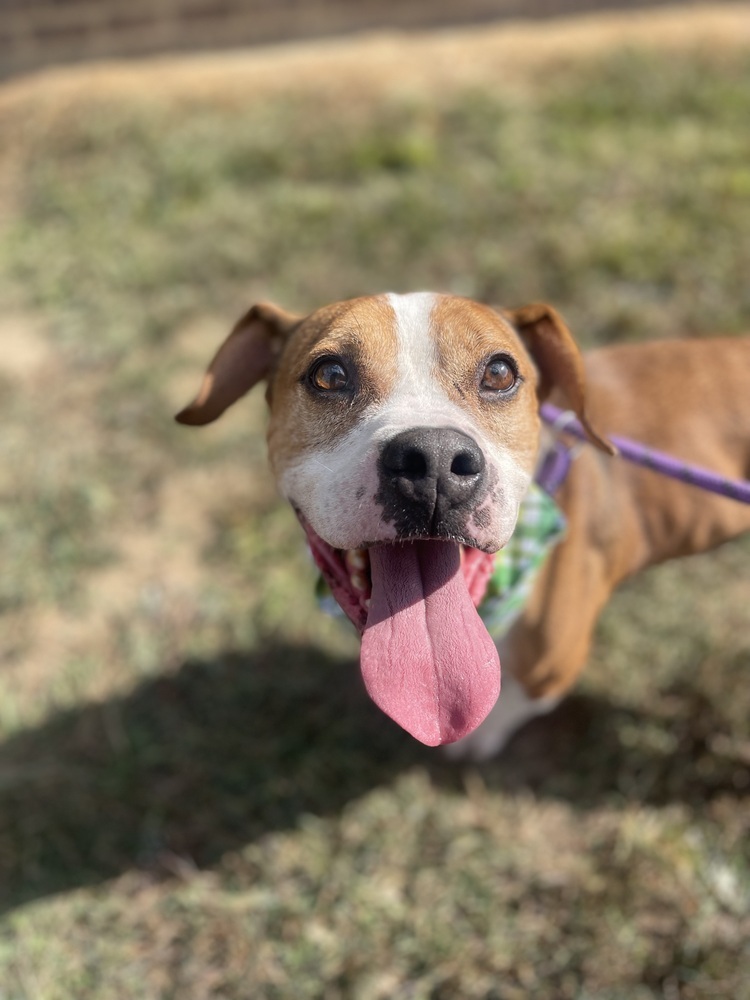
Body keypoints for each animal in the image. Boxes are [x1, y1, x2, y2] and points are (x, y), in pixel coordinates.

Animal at [178, 294, 750, 756]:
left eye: (499, 373)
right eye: (330, 375)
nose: (432, 460)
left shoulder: (554, 662)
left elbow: (522, 697)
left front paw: (481, 737)